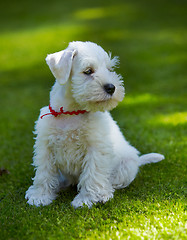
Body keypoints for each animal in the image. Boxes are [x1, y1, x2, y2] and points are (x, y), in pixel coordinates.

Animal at [25, 41, 164, 208]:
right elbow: (43, 173)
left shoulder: (95, 149)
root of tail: (138, 160)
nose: (111, 88)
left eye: (109, 69)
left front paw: (86, 199)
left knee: (111, 182)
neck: (72, 112)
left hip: (126, 165)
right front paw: (39, 196)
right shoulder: (45, 146)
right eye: (88, 71)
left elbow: (92, 175)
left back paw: (104, 194)